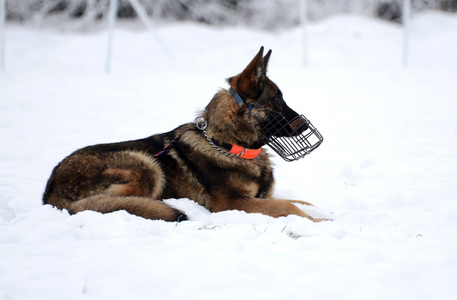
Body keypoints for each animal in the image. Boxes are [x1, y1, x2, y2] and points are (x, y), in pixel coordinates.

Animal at [41, 46, 324, 220]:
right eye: (277, 100)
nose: (305, 126)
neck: (228, 145)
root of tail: (50, 191)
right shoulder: (230, 204)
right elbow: (287, 204)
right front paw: (317, 223)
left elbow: (303, 203)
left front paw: (323, 213)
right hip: (146, 165)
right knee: (109, 205)